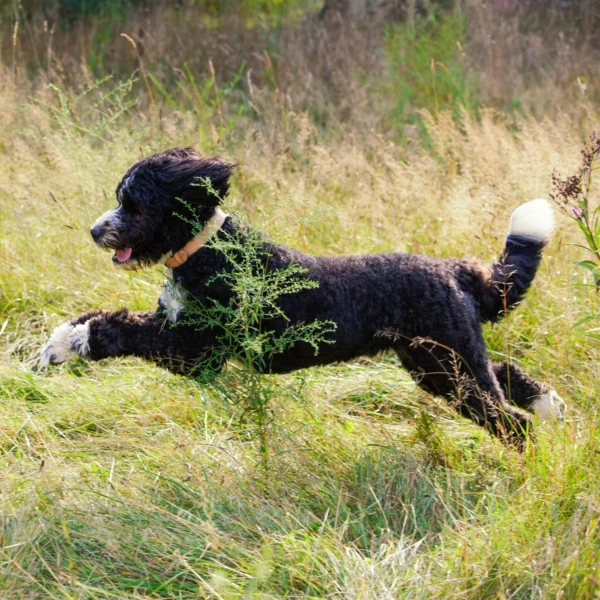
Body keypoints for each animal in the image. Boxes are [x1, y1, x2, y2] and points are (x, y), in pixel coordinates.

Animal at [39, 145, 564, 446]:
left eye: (134, 202)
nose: (95, 230)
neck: (207, 250)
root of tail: (456, 270)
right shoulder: (178, 330)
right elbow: (111, 317)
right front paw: (58, 340)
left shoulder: (194, 349)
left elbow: (117, 328)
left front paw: (72, 342)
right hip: (438, 360)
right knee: (503, 372)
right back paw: (550, 402)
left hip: (450, 365)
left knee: (509, 420)